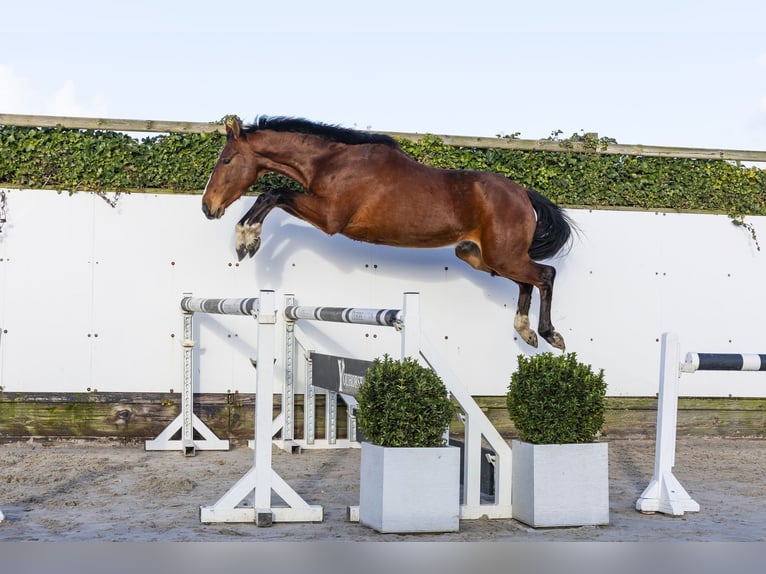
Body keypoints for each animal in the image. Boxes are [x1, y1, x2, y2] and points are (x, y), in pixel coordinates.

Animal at [202, 115, 573, 350]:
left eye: (226, 160)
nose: (208, 207)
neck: (332, 163)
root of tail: (522, 193)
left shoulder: (329, 218)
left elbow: (273, 193)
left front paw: (246, 238)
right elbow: (273, 195)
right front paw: (247, 239)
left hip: (501, 256)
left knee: (545, 274)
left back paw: (549, 334)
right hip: (478, 256)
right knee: (528, 281)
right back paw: (526, 331)